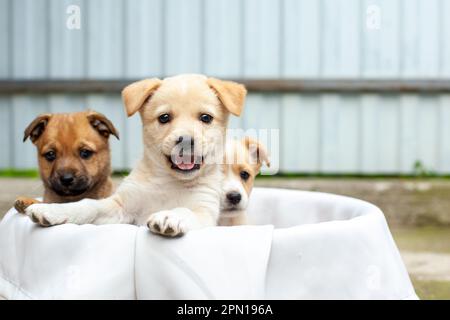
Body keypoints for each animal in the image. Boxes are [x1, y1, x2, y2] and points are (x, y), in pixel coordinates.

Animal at [23, 74, 246, 236]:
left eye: (205, 118)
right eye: (164, 117)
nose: (185, 140)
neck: (170, 182)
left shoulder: (204, 212)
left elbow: (185, 210)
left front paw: (169, 217)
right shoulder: (121, 207)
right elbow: (89, 205)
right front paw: (54, 210)